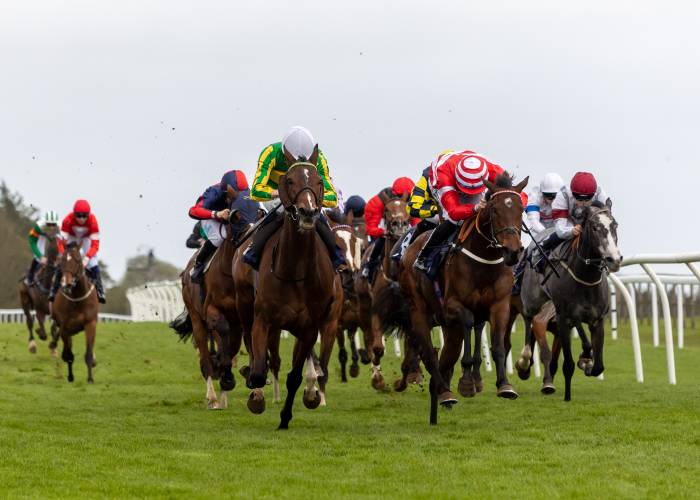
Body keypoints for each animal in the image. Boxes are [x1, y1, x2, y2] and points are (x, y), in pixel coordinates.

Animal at [50, 242, 100, 382]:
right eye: (62, 260)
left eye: (78, 259)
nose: (66, 283)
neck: (77, 298)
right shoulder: (65, 328)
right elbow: (68, 355)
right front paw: (70, 376)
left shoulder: (90, 324)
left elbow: (88, 353)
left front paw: (90, 379)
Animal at [242, 146, 344, 430]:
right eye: (289, 180)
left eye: (319, 181)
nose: (308, 212)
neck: (295, 271)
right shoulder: (263, 319)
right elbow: (259, 370)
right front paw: (256, 394)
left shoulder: (310, 327)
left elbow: (295, 376)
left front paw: (286, 418)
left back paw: (312, 391)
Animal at [356, 194, 410, 390]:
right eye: (387, 209)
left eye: (406, 206)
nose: (399, 224)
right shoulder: (377, 311)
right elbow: (377, 348)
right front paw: (378, 379)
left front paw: (402, 382)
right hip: (363, 306)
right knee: (369, 338)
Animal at [400, 174, 524, 424]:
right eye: (494, 210)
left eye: (522, 208)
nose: (512, 252)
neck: (485, 261)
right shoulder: (452, 306)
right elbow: (468, 322)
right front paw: (467, 381)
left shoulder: (499, 306)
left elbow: (497, 344)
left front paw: (504, 385)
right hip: (419, 311)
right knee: (430, 353)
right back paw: (444, 392)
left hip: (449, 327)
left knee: (447, 355)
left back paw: (440, 393)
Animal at [516, 201, 620, 400]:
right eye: (594, 227)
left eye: (615, 225)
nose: (614, 259)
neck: (586, 278)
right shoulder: (564, 318)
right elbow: (568, 364)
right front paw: (567, 396)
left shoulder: (597, 320)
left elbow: (598, 366)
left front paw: (587, 361)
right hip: (531, 302)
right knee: (528, 322)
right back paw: (523, 363)